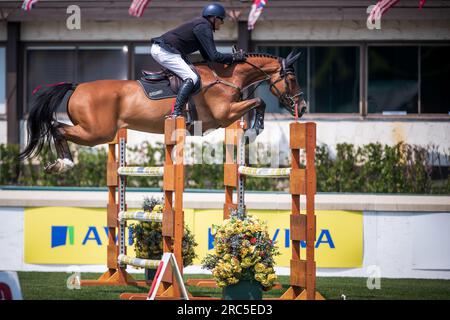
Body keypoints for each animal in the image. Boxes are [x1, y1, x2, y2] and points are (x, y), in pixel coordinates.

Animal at [18, 51, 306, 174]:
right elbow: (259, 102)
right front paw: (255, 129)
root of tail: (77, 87)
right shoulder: (224, 114)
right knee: (57, 128)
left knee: (58, 128)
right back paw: (64, 163)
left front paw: (252, 130)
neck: (226, 77)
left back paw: (61, 163)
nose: (302, 108)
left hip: (98, 132)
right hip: (97, 133)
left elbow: (257, 103)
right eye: (292, 79)